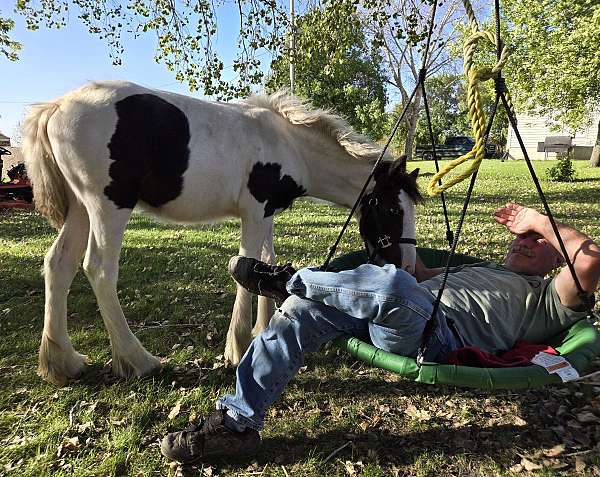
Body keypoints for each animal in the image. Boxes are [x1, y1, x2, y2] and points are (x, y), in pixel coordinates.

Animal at [21, 81, 420, 384]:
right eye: (392, 209)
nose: (408, 266)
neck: (288, 144)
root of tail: (55, 107)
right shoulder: (254, 211)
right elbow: (247, 264)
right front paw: (238, 347)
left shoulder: (266, 213)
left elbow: (266, 260)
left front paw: (262, 327)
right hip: (108, 207)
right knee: (99, 269)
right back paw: (138, 359)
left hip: (80, 209)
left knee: (58, 264)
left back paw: (63, 361)